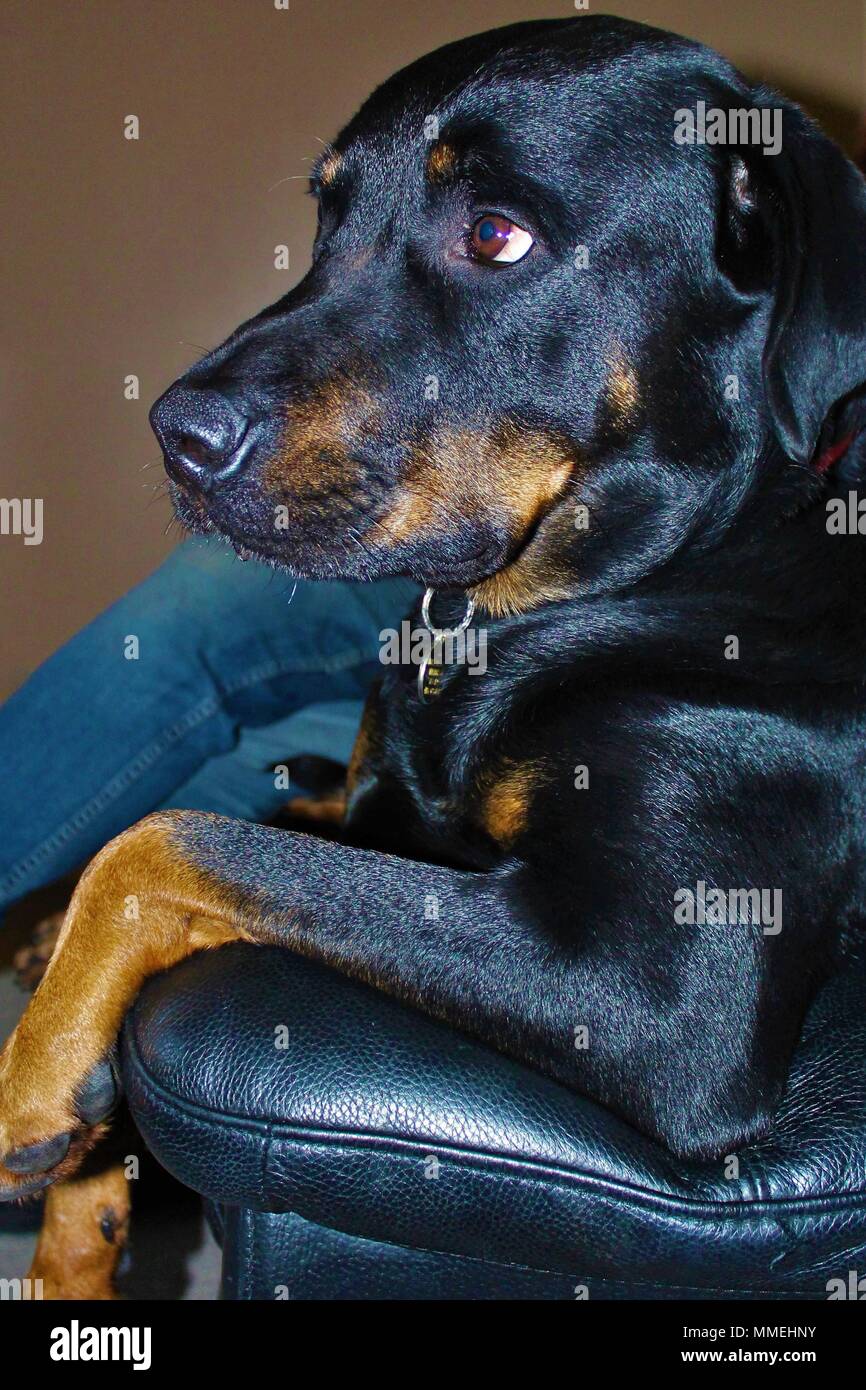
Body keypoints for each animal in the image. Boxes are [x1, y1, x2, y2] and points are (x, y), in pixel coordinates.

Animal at [1, 13, 866, 1289]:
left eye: (495, 234)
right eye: (325, 217)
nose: (174, 437)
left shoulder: (654, 999)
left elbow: (162, 841)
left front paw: (36, 1071)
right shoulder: (378, 806)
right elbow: (249, 826)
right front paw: (75, 1228)